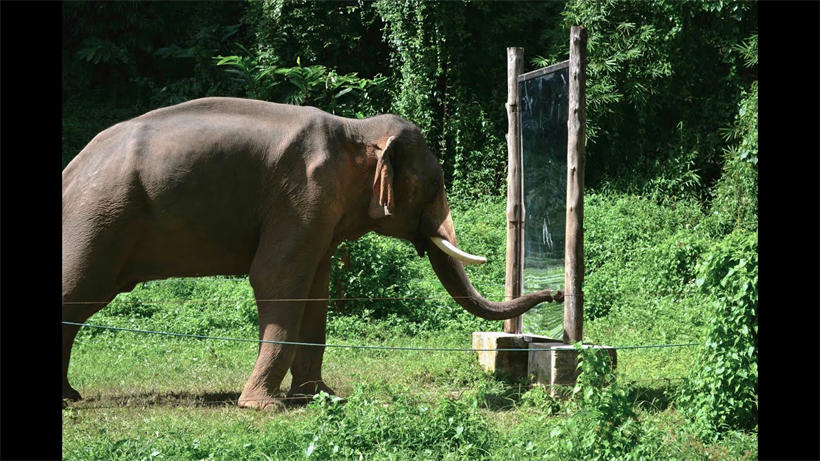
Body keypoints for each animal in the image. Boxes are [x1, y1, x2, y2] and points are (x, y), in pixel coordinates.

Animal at [62, 96, 564, 406]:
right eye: (435, 184)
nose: (559, 294)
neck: (353, 128)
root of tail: (73, 167)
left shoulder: (319, 213)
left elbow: (315, 290)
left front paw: (320, 397)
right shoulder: (302, 195)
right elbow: (276, 278)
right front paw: (260, 407)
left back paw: (69, 396)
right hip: (100, 218)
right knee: (78, 292)